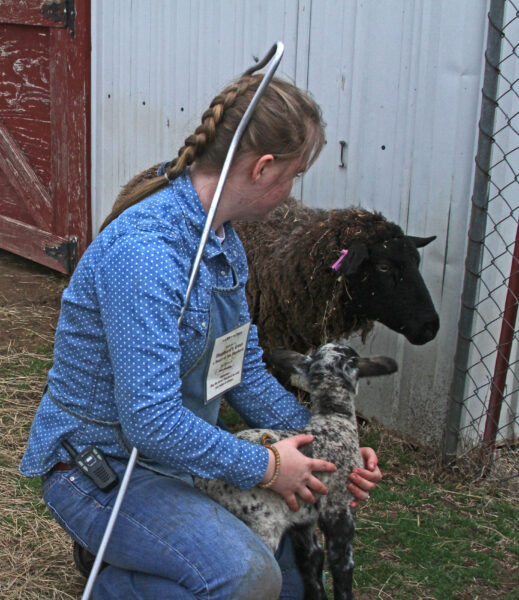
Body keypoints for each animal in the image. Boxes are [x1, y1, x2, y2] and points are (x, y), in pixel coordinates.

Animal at [195, 342, 398, 600]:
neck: (333, 419)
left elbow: (311, 562)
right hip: (263, 523)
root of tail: (203, 483)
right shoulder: (338, 509)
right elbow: (342, 565)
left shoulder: (303, 520)